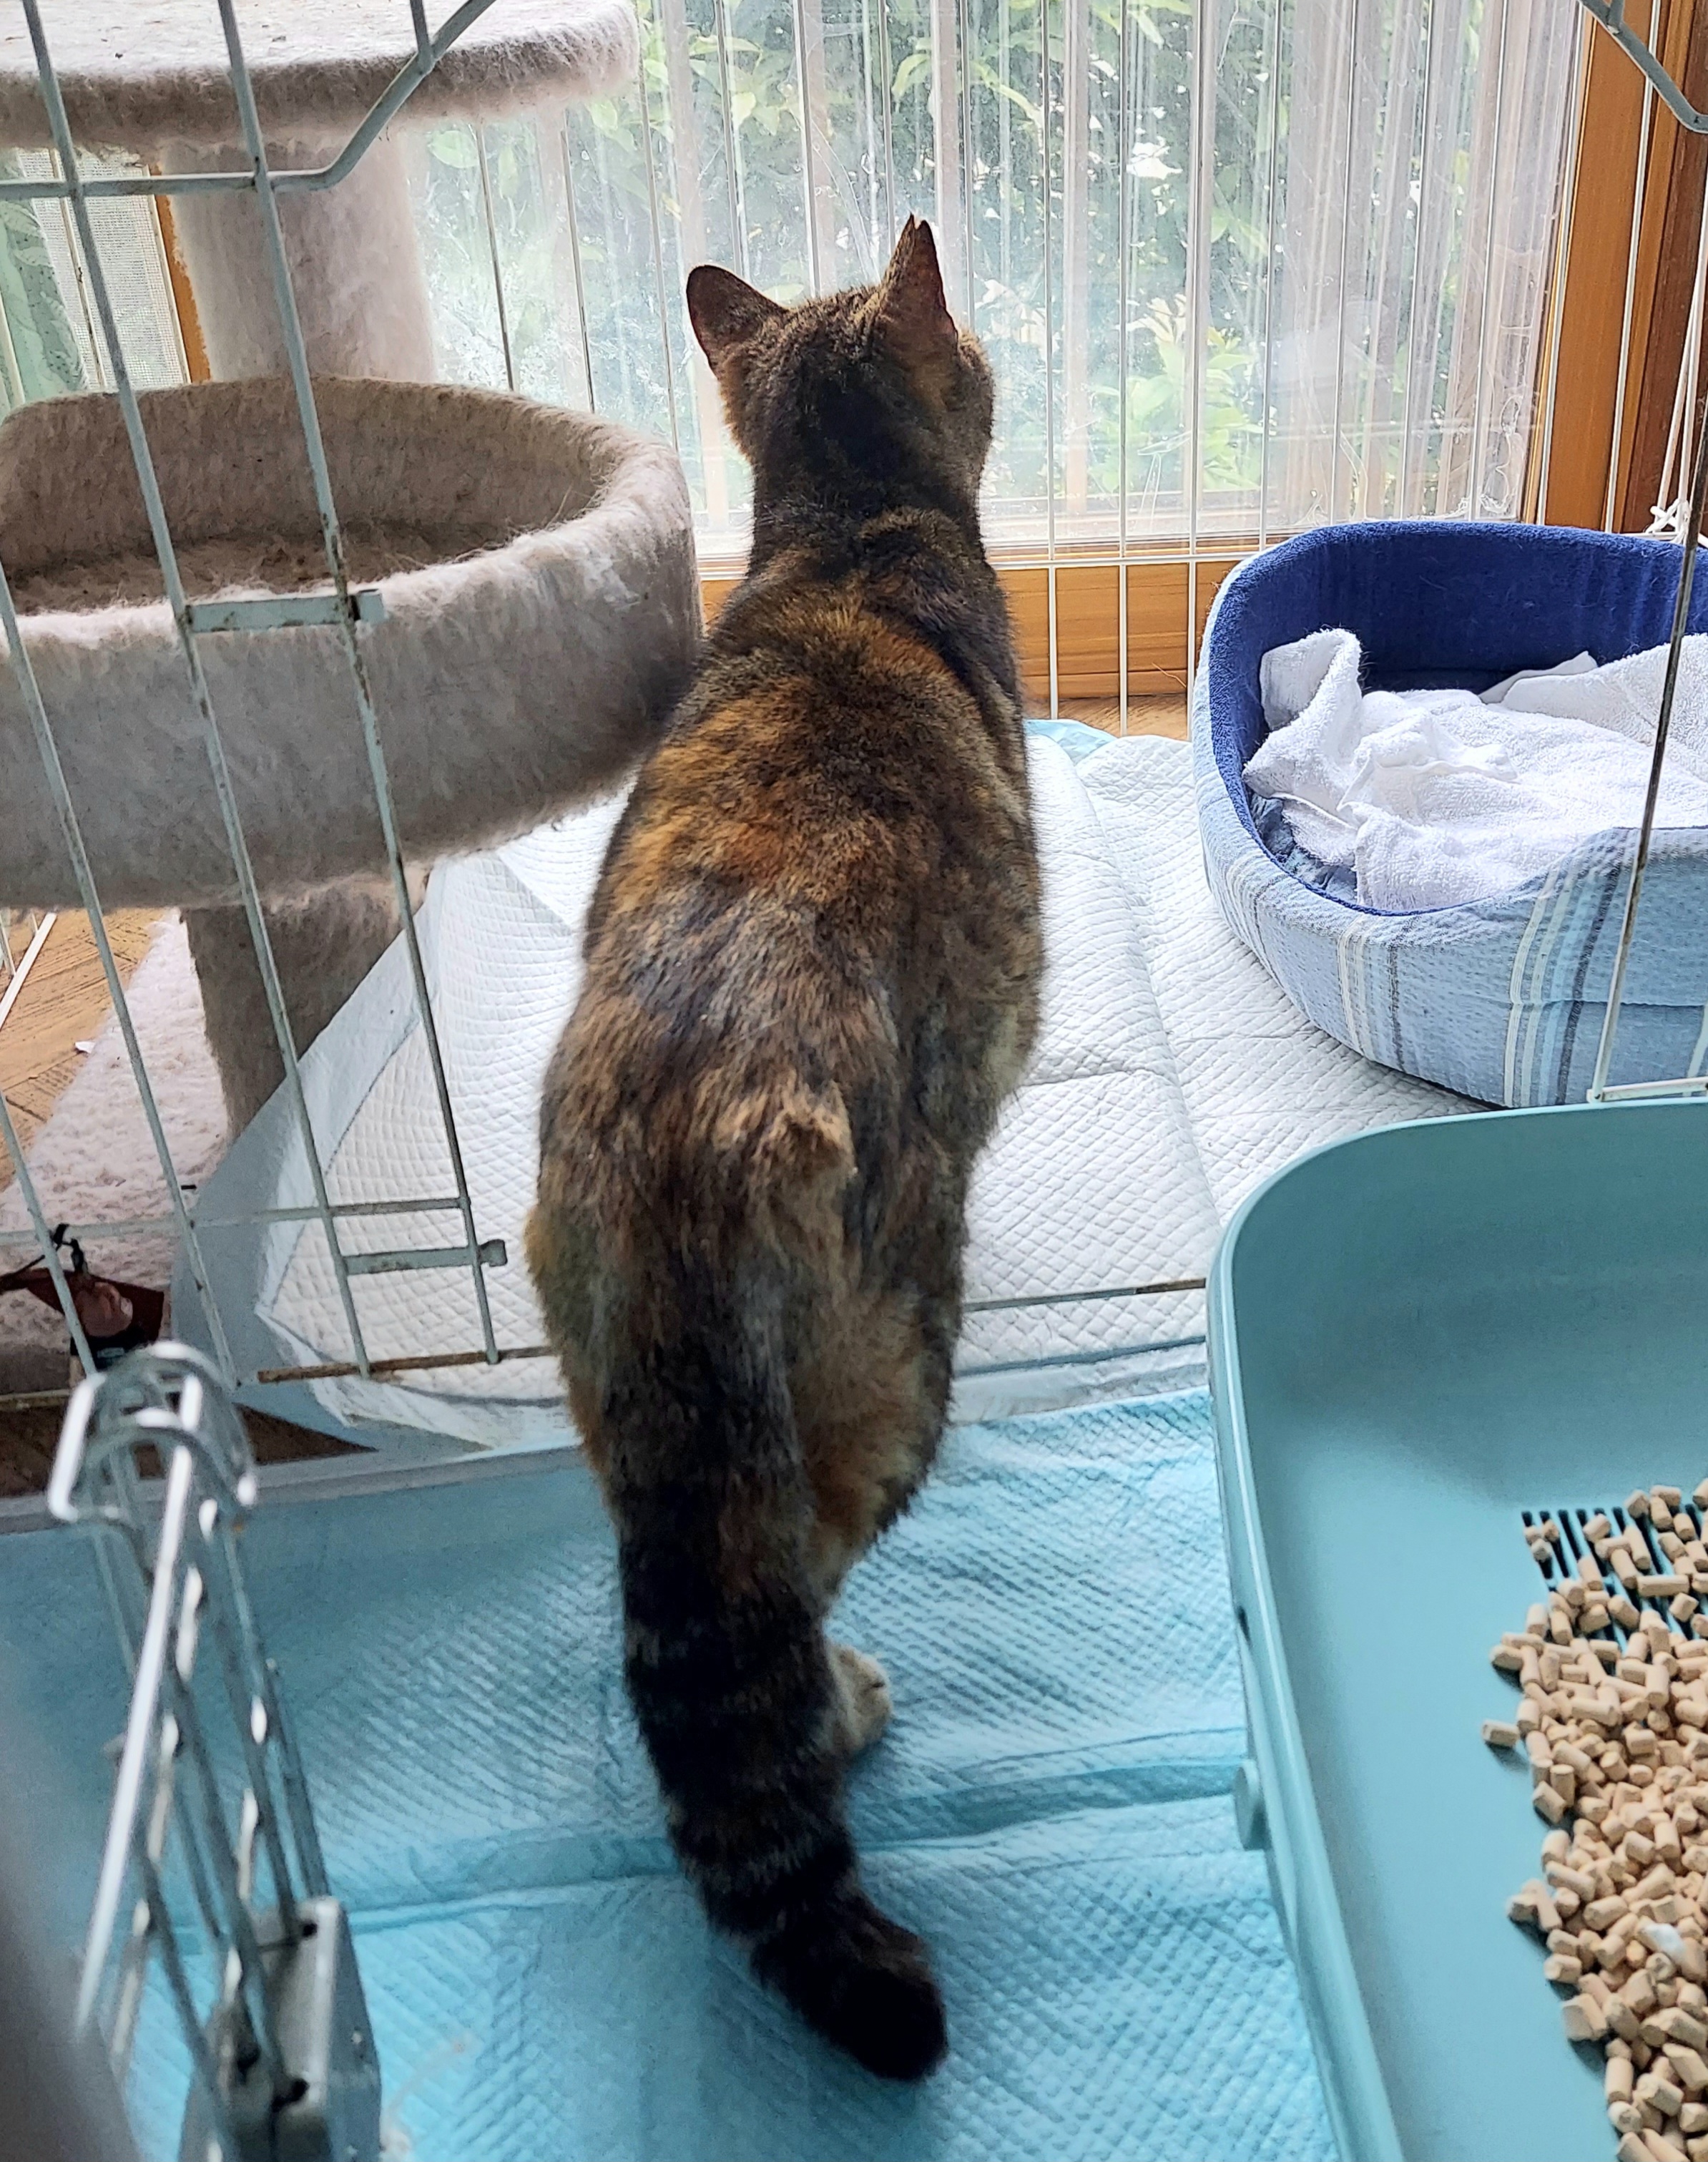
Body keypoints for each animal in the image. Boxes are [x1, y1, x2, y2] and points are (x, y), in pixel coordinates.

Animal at [526, 218, 1043, 2081]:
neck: (844, 531)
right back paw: (855, 1702)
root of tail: (689, 1123)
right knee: (802, 1597)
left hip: (622, 1402)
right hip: (892, 1374)